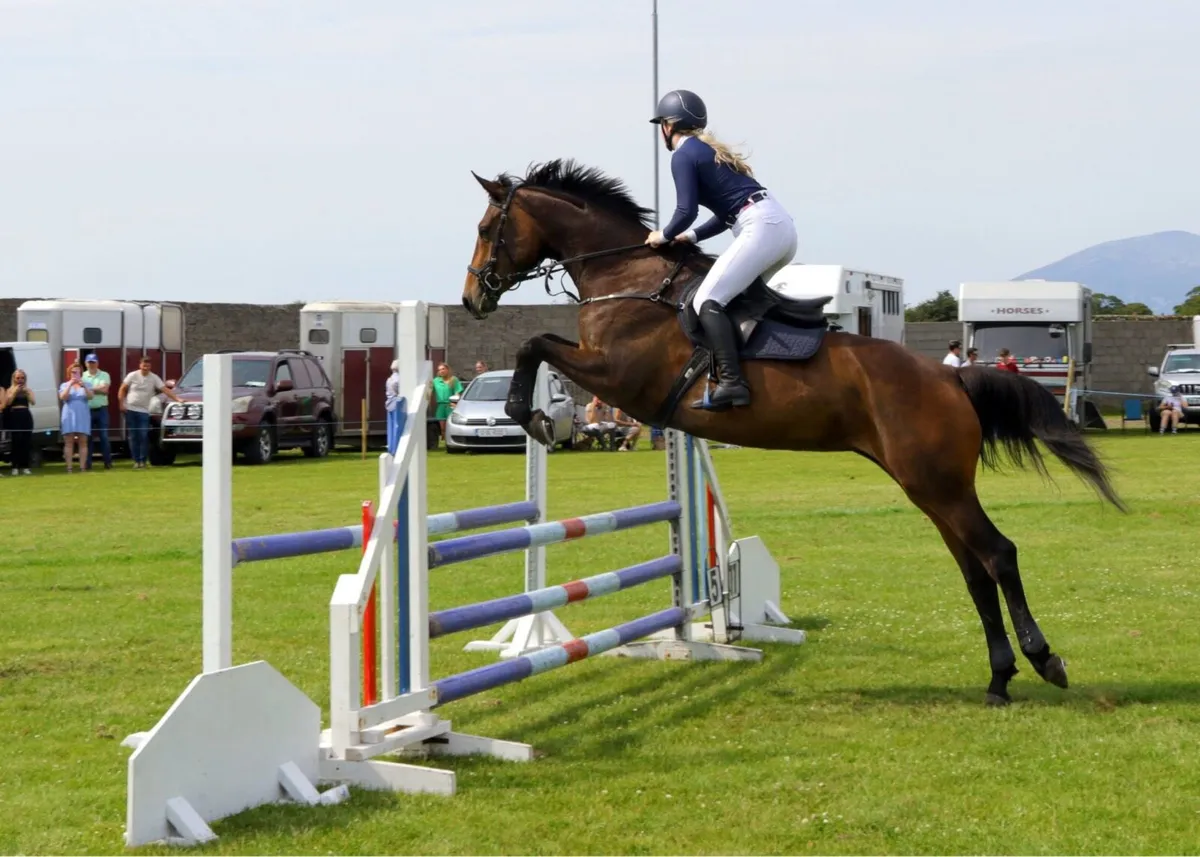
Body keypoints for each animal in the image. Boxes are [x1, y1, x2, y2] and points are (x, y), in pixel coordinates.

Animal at [459, 158, 1126, 706]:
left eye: (489, 228)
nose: (472, 299)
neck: (626, 274)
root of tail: (949, 376)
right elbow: (536, 344)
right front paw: (540, 415)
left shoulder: (620, 377)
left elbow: (533, 344)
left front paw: (534, 416)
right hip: (930, 488)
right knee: (974, 570)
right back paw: (998, 679)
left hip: (937, 483)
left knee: (997, 554)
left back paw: (1043, 661)